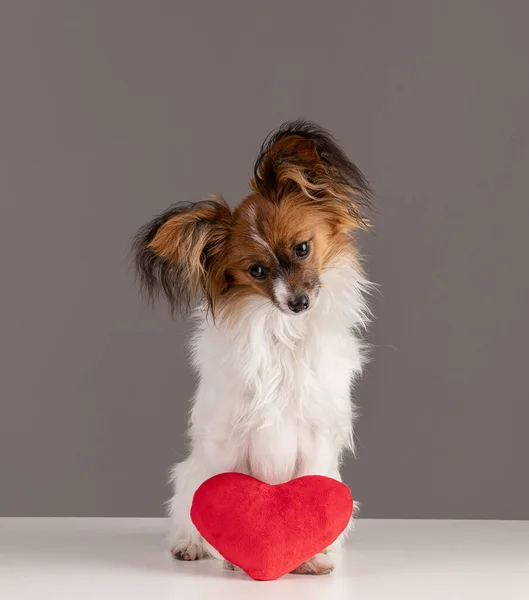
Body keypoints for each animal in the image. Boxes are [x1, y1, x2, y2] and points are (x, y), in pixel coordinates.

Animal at [132, 119, 372, 576]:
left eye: (302, 248)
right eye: (257, 271)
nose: (298, 302)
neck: (282, 332)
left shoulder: (315, 436)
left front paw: (310, 558)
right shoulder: (231, 438)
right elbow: (228, 494)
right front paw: (234, 558)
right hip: (190, 474)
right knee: (187, 511)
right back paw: (191, 546)